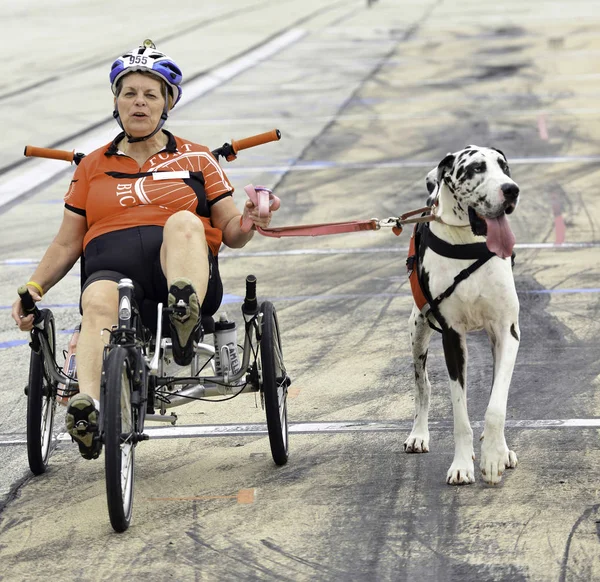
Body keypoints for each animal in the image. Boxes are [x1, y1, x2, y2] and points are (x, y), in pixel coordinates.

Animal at [406, 146, 516, 488]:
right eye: (476, 168)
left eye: (504, 166)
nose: (511, 189)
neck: (468, 243)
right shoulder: (452, 338)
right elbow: (460, 414)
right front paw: (461, 465)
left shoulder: (508, 332)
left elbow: (497, 406)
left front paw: (494, 457)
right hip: (417, 329)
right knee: (423, 387)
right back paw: (418, 434)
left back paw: (503, 450)